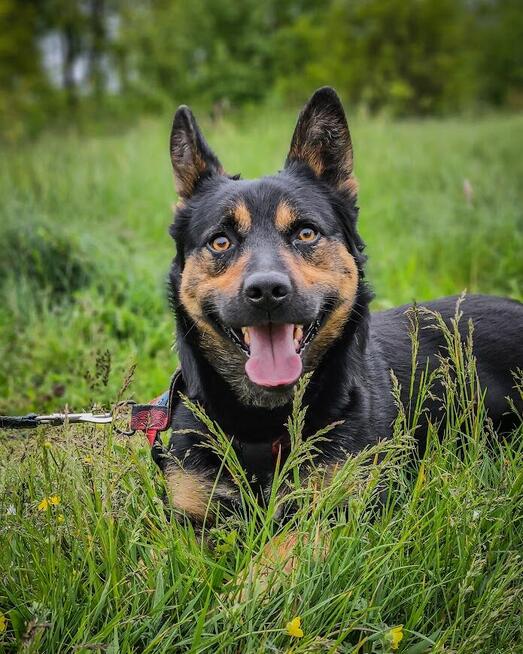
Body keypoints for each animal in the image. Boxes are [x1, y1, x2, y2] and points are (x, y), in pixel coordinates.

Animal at [162, 87, 520, 528]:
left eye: (305, 233)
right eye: (220, 241)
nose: (266, 291)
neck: (266, 423)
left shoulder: (339, 511)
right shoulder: (189, 517)